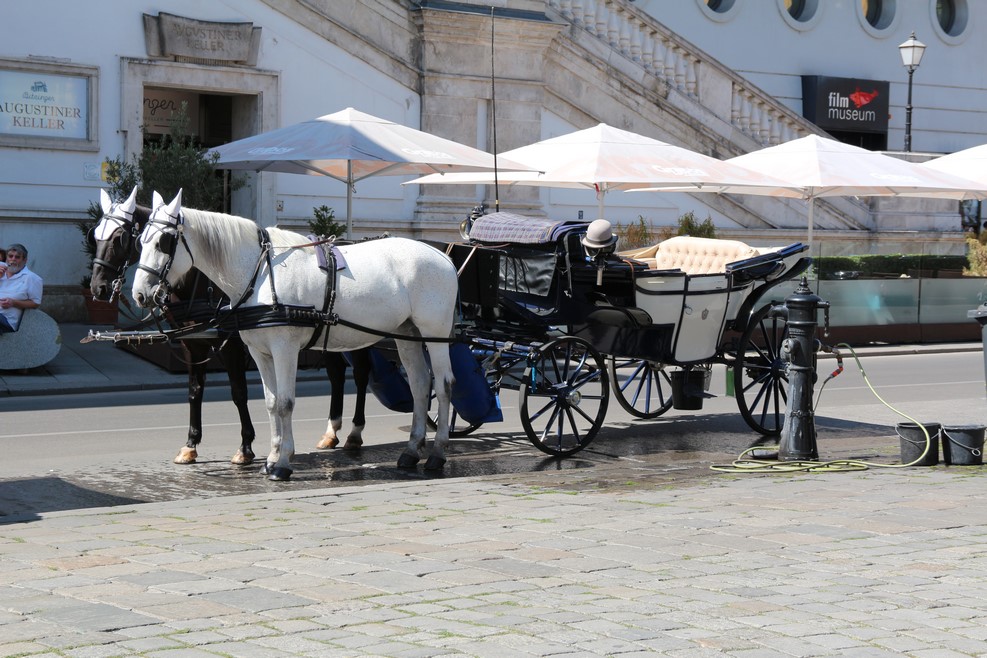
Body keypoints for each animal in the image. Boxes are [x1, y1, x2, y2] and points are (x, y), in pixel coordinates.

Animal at [92, 189, 370, 466]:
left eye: (119, 238)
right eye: (96, 235)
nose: (98, 287)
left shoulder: (231, 345)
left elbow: (238, 392)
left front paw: (245, 446)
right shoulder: (193, 344)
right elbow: (195, 391)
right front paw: (190, 444)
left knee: (360, 375)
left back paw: (354, 432)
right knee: (336, 374)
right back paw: (331, 432)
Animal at [131, 190, 458, 480]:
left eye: (163, 242)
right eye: (139, 241)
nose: (139, 294)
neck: (261, 272)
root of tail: (441, 255)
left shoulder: (284, 348)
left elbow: (286, 403)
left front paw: (283, 463)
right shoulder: (259, 352)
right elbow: (271, 403)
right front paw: (272, 457)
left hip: (435, 333)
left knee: (443, 385)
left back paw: (437, 453)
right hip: (407, 333)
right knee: (419, 384)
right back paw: (412, 450)